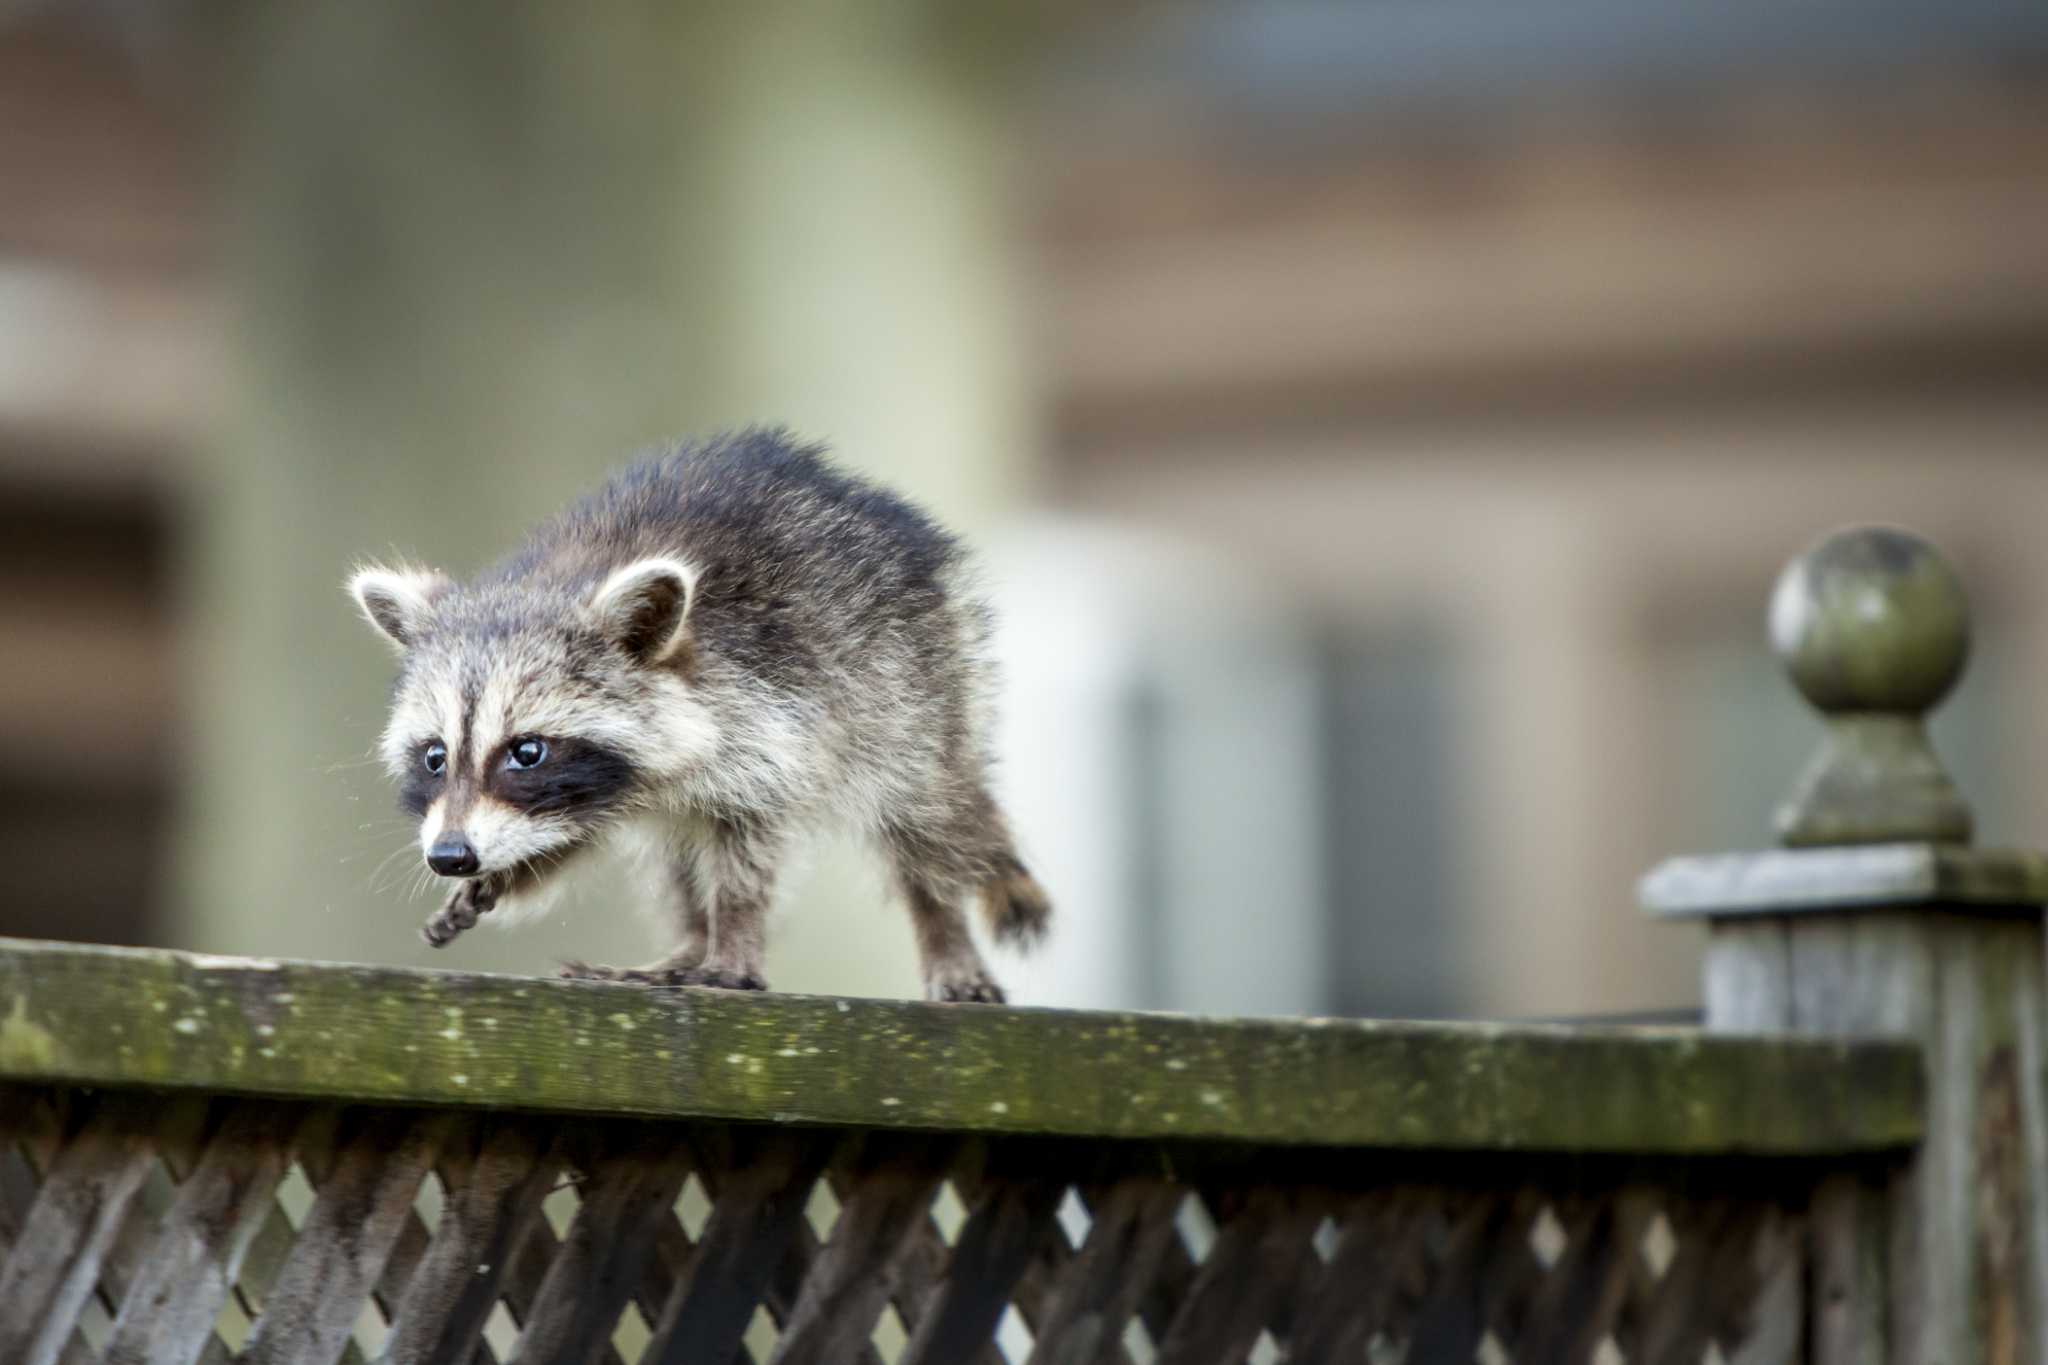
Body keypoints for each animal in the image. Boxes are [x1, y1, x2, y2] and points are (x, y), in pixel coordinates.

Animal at [348, 428, 1049, 1002]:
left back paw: (942, 928)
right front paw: (513, 871)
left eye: (527, 752)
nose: (451, 855)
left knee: (929, 818)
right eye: (435, 756)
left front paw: (734, 939)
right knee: (676, 857)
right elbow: (573, 835)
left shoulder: (772, 717)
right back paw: (686, 942)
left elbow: (749, 846)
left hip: (915, 683)